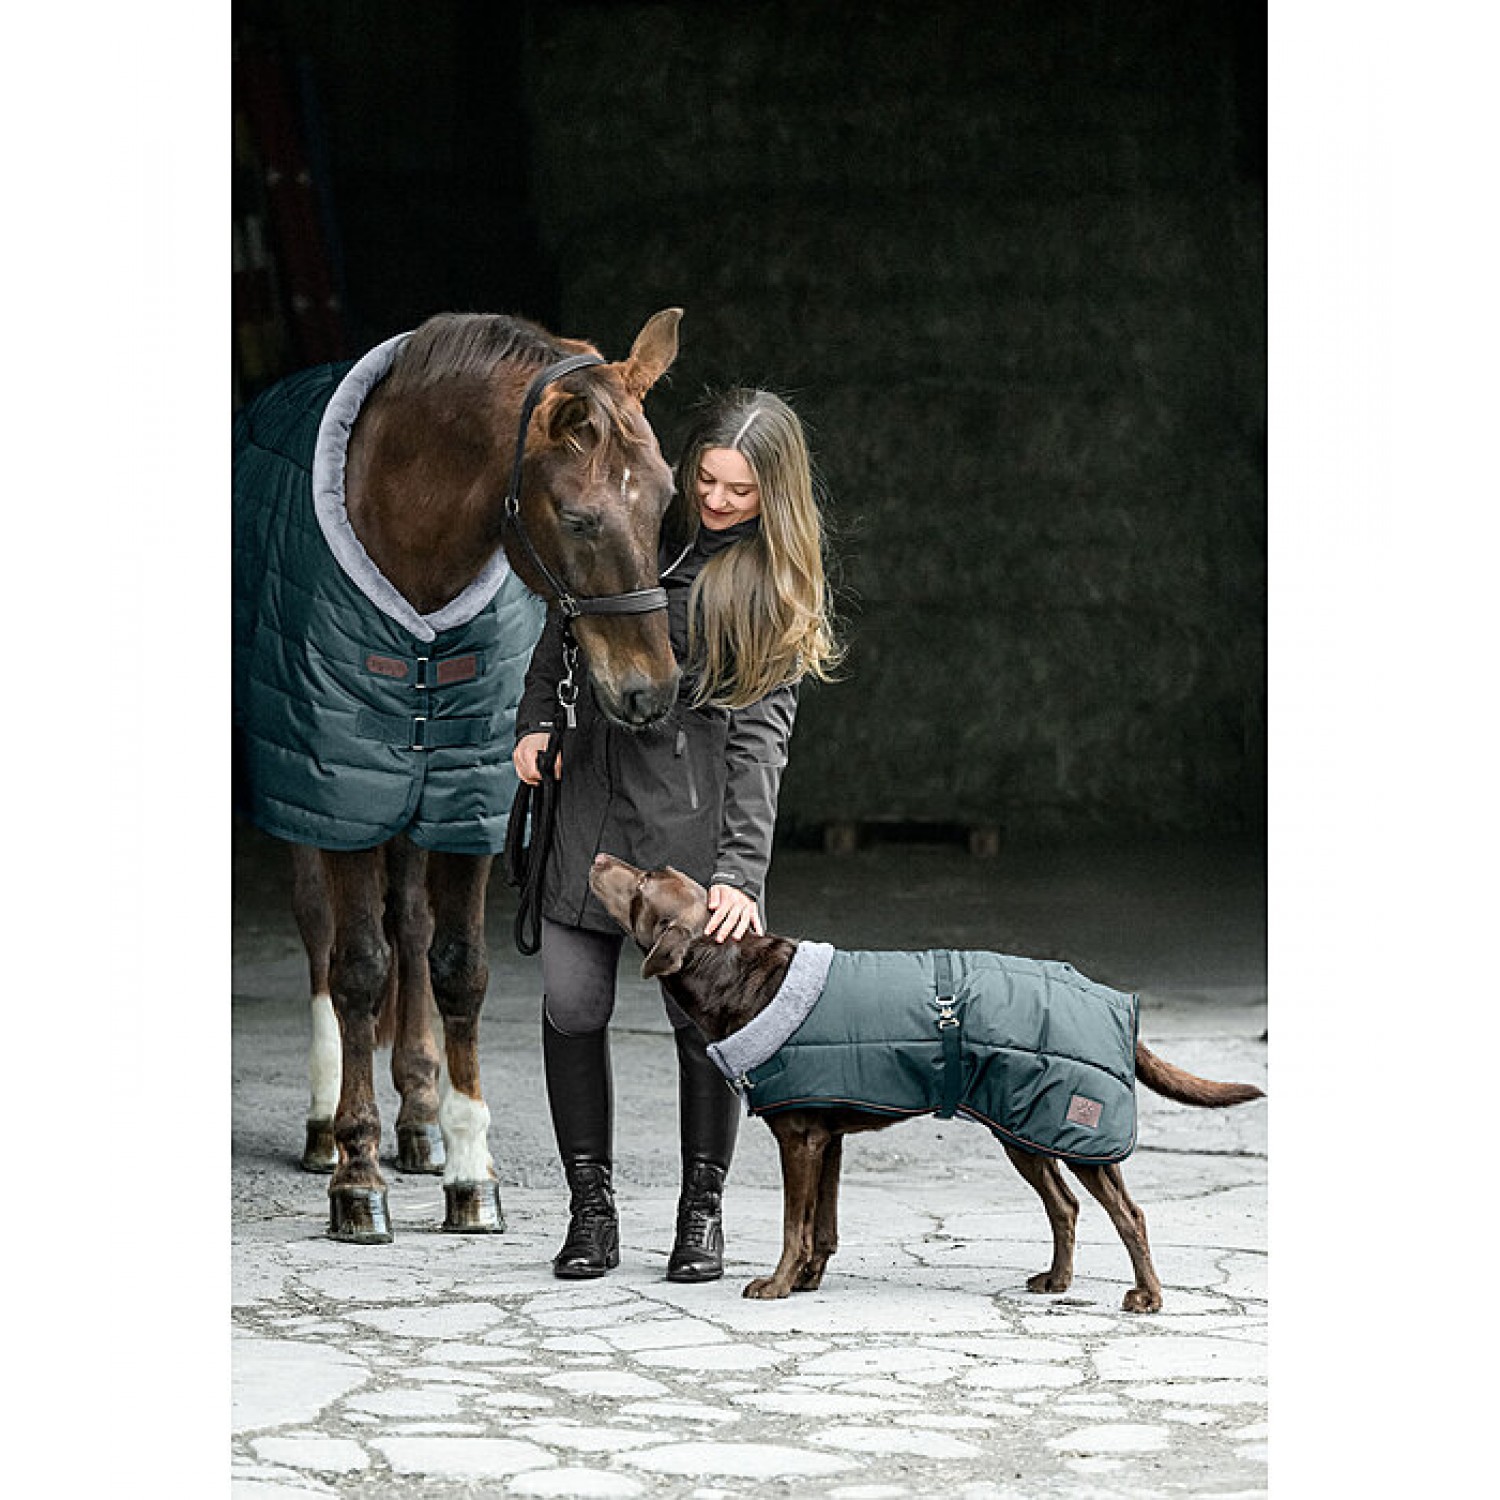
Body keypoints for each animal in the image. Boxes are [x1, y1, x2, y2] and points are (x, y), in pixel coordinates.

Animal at [233, 308, 683, 1242]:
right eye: (578, 518)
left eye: (664, 499)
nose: (650, 693)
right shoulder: (346, 789)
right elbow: (359, 967)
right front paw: (356, 1181)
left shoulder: (467, 801)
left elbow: (459, 969)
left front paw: (471, 1171)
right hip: (310, 795)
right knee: (322, 932)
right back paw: (327, 1126)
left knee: (409, 927)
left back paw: (418, 1123)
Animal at [587, 853, 1264, 1311]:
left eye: (643, 883)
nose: (596, 858)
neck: (737, 972)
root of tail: (1111, 999)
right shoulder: (827, 1137)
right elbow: (822, 1226)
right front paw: (806, 1281)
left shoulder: (799, 1138)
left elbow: (792, 1225)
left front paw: (777, 1284)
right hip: (1024, 1129)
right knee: (1065, 1206)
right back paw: (1057, 1281)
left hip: (1074, 1133)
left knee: (1130, 1214)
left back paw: (1147, 1296)